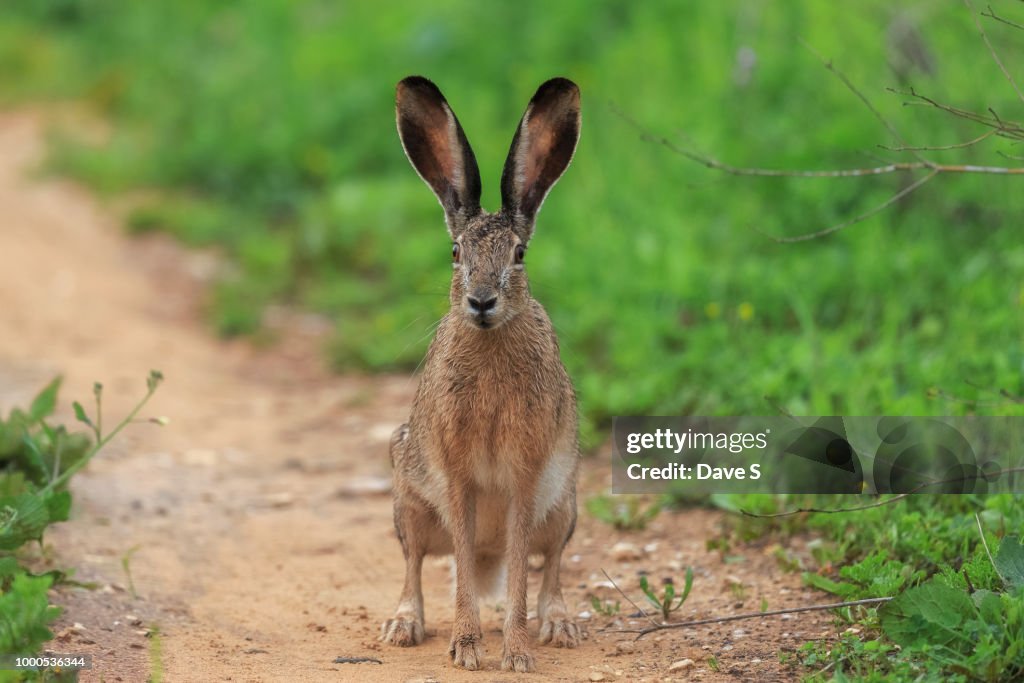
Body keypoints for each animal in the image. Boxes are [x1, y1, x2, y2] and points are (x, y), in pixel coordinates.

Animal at [379, 76, 582, 673]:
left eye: (519, 254)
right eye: (454, 252)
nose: (482, 301)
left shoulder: (526, 476)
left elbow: (519, 575)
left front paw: (515, 655)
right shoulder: (455, 476)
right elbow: (462, 567)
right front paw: (468, 649)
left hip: (564, 506)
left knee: (550, 566)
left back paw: (559, 626)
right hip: (408, 504)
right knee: (416, 563)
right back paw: (403, 626)